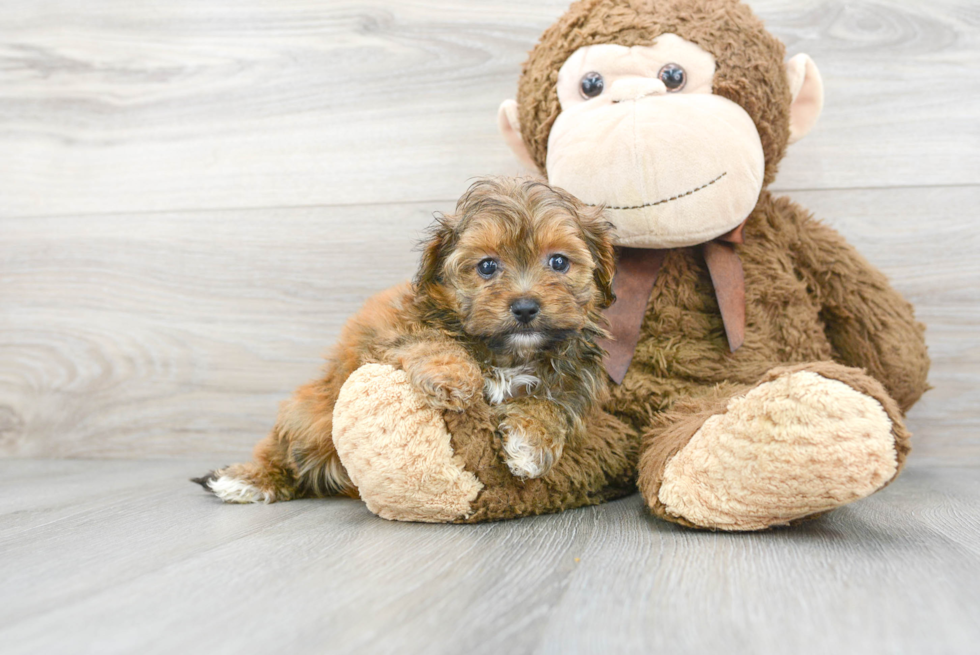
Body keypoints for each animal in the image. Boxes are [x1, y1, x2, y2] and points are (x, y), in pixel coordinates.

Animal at [195, 177, 616, 504]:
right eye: (487, 266)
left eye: (559, 262)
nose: (525, 307)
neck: (509, 352)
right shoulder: (394, 334)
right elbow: (431, 341)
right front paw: (454, 378)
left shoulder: (576, 380)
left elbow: (552, 405)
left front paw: (530, 444)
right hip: (310, 417)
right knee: (285, 454)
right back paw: (247, 479)